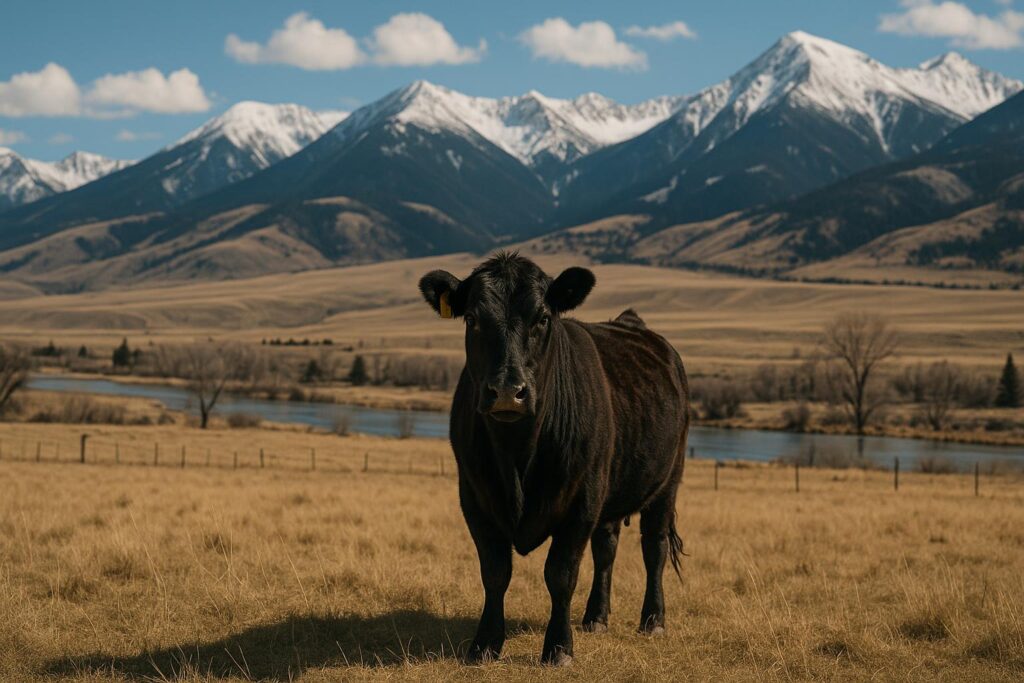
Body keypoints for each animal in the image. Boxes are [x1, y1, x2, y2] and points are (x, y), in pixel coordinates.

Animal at [418, 252, 689, 666]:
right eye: (472, 318)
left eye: (542, 318)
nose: (507, 392)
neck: (517, 454)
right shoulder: (475, 498)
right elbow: (495, 572)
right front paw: (484, 644)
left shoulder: (580, 501)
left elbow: (560, 574)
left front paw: (559, 647)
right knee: (606, 549)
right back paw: (596, 617)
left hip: (666, 482)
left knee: (653, 547)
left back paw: (653, 620)